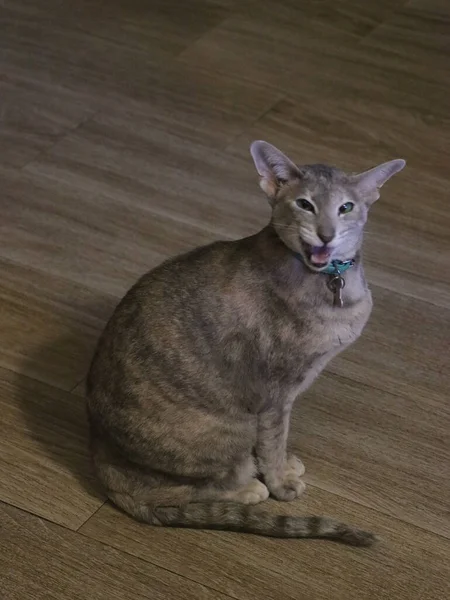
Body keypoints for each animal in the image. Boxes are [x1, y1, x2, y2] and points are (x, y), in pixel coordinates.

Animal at [85, 141, 404, 544]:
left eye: (346, 207)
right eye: (305, 204)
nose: (326, 235)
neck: (330, 284)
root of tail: (102, 464)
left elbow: (276, 444)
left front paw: (284, 468)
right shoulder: (276, 394)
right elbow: (274, 442)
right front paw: (281, 481)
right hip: (231, 429)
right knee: (183, 491)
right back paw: (249, 488)